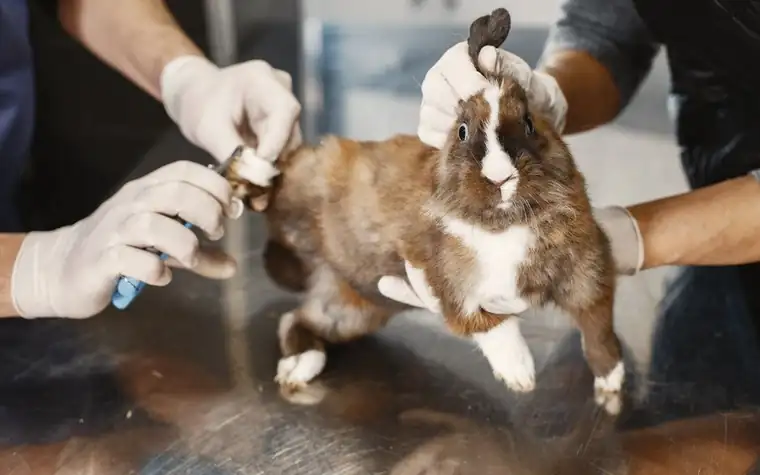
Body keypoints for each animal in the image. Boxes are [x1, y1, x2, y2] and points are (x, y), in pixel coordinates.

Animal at [224, 8, 624, 415]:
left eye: (529, 124)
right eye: (461, 131)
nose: (500, 176)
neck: (506, 225)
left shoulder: (589, 272)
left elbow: (597, 328)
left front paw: (612, 380)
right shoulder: (448, 283)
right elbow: (490, 325)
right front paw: (520, 374)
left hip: (354, 309)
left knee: (296, 319)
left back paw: (299, 367)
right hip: (305, 185)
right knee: (276, 187)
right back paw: (250, 172)